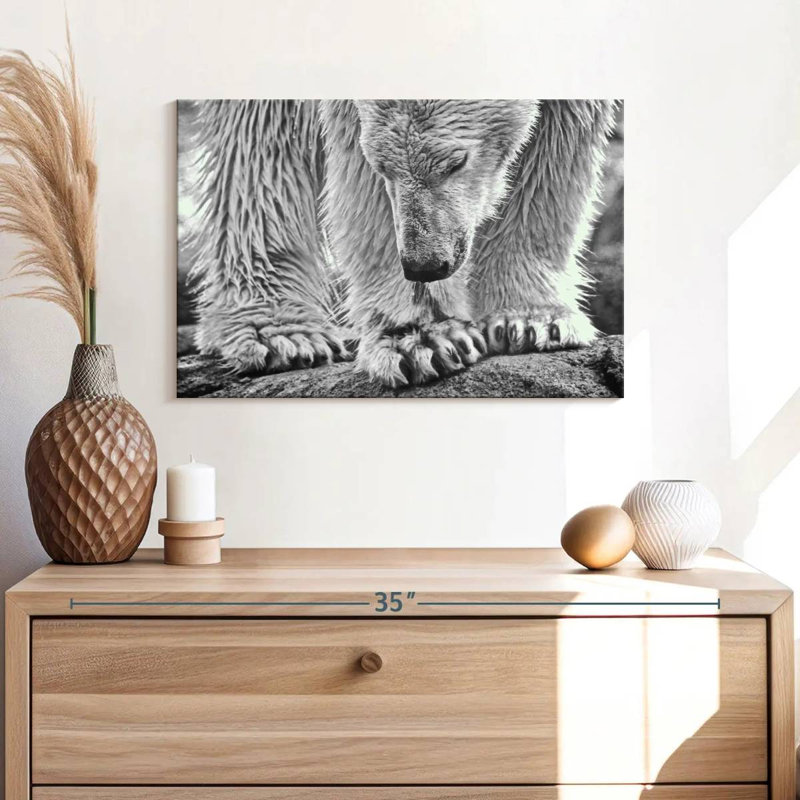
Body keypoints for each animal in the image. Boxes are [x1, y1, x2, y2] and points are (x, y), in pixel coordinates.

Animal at [184, 99, 616, 388]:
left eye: (456, 162)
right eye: (382, 165)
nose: (424, 264)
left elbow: (557, 150)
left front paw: (531, 323)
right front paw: (424, 339)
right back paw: (280, 334)